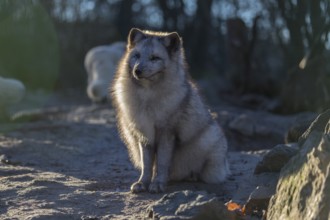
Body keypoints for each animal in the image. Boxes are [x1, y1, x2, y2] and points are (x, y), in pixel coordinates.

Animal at [111, 28, 229, 193]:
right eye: (137, 55)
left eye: (155, 58)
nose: (137, 70)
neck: (148, 96)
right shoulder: (144, 134)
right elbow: (147, 165)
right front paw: (143, 183)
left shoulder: (167, 132)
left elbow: (162, 163)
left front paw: (158, 183)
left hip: (208, 142)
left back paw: (193, 176)